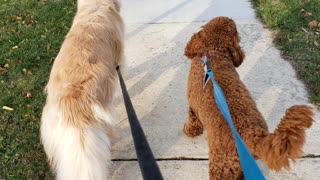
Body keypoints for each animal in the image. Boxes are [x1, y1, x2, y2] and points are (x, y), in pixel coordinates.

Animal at [184, 16, 314, 179]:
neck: (214, 51)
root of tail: (254, 136)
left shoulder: (192, 104)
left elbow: (193, 120)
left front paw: (190, 130)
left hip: (222, 166)